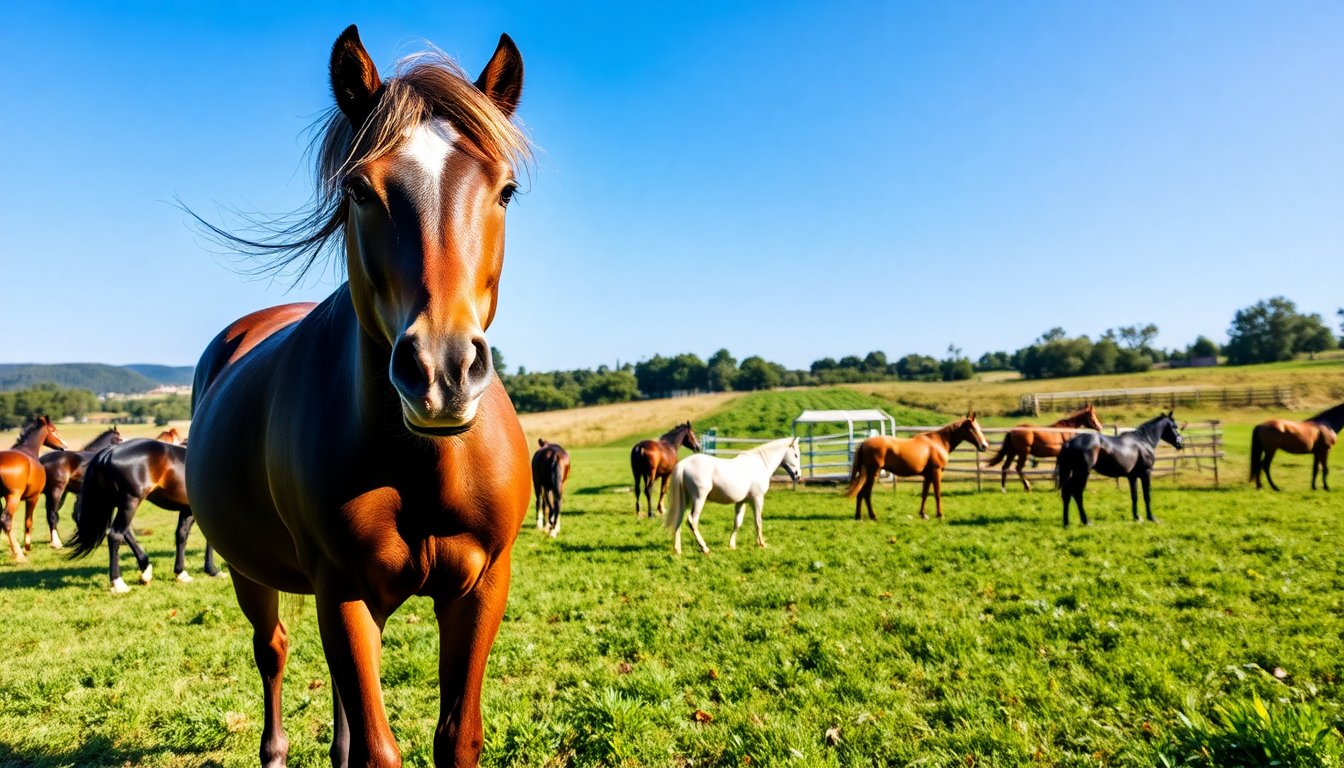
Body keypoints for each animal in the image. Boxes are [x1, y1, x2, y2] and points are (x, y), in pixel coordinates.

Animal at [0, 416, 68, 562]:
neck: (28, 450)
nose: (64, 446)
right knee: (6, 521)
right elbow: (28, 522)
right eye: (53, 430)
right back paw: (19, 555)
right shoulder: (33, 497)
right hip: (13, 497)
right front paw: (26, 549)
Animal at [67, 439, 220, 591]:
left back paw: (145, 569)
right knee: (115, 534)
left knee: (125, 532)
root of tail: (110, 451)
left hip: (116, 504)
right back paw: (118, 583)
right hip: (130, 502)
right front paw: (212, 570)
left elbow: (182, 535)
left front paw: (181, 573)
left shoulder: (187, 510)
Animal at [184, 26, 531, 767]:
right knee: (273, 651)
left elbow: (456, 737)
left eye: (505, 191)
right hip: (254, 575)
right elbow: (378, 748)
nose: (441, 369)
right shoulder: (340, 588)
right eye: (359, 189)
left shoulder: (482, 586)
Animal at [665, 437, 800, 555]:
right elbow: (758, 521)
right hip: (699, 499)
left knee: (678, 521)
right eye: (796, 455)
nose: (798, 475)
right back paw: (704, 548)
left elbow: (737, 523)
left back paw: (677, 550)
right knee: (692, 521)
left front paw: (732, 545)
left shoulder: (741, 502)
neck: (760, 463)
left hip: (686, 501)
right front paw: (761, 544)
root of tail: (686, 463)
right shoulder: (757, 499)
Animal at [845, 413, 989, 521]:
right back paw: (872, 516)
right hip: (873, 473)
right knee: (866, 493)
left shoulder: (928, 475)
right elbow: (937, 494)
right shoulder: (936, 472)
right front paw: (940, 515)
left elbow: (925, 494)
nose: (984, 446)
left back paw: (858, 517)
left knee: (860, 493)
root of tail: (863, 444)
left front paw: (923, 514)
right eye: (973, 429)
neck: (939, 442)